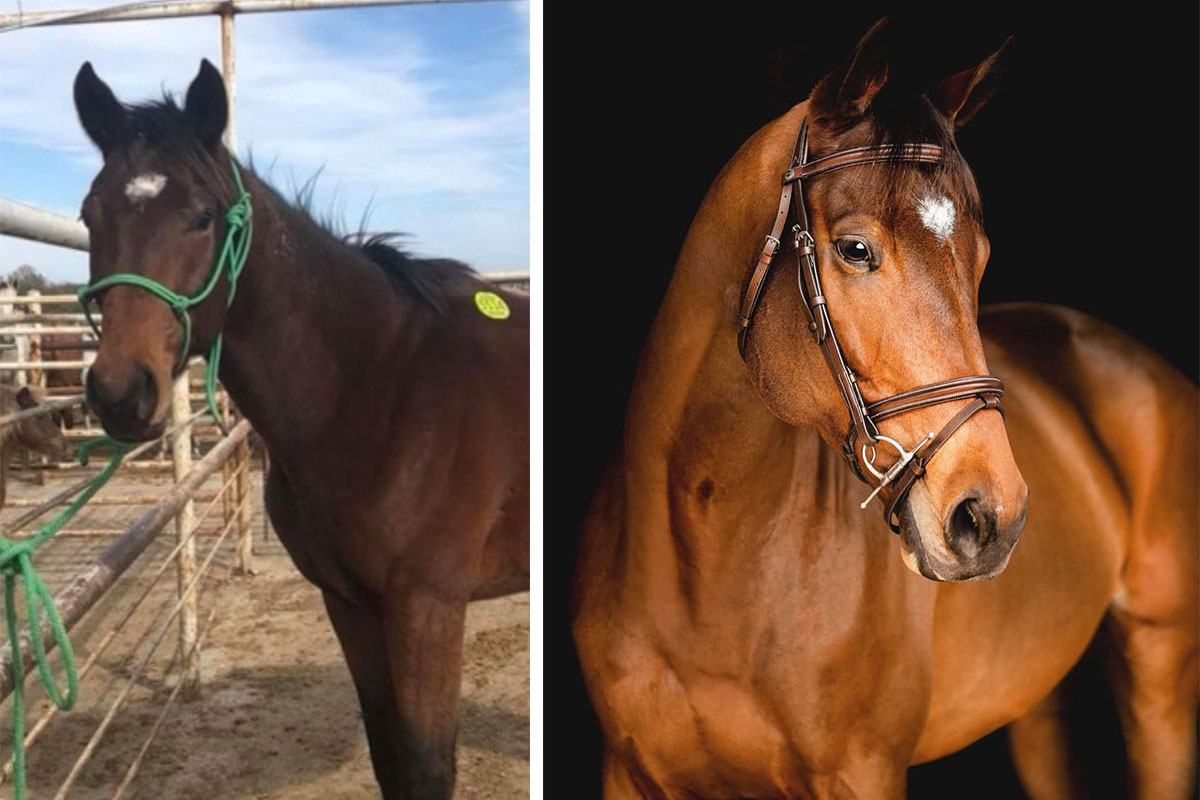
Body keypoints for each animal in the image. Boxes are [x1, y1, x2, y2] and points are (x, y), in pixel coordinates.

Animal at [72, 60, 529, 799]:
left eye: (202, 216)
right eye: (91, 214)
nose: (120, 391)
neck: (382, 385)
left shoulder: (429, 607)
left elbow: (428, 767)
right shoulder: (349, 602)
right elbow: (389, 757)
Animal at [572, 20, 1198, 800]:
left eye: (978, 257)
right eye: (854, 248)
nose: (990, 517)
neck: (704, 584)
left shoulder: (862, 772)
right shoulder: (626, 770)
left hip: (1160, 669)